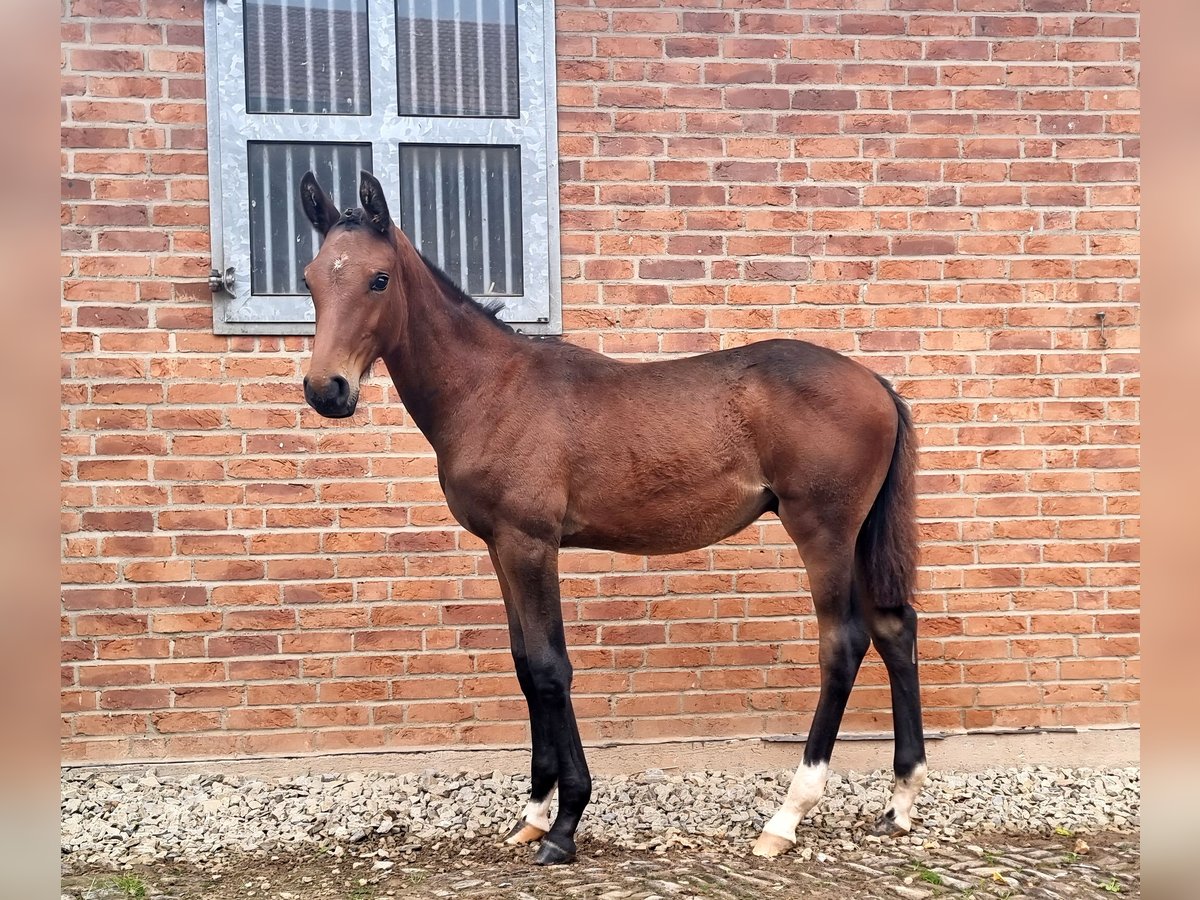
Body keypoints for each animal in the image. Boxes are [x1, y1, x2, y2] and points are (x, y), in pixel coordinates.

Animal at [296, 170, 926, 865]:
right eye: (311, 277)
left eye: (379, 279)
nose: (326, 391)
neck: (490, 390)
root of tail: (875, 383)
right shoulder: (499, 546)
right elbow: (525, 665)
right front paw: (533, 814)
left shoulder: (530, 544)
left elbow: (551, 667)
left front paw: (565, 824)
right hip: (860, 537)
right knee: (895, 630)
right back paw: (899, 803)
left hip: (825, 532)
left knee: (843, 644)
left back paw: (786, 817)